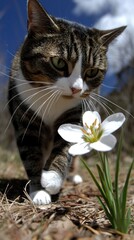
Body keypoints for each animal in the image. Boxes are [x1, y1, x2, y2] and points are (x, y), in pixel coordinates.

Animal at [7, 0, 125, 204]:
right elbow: (31, 155)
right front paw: (39, 191)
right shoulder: (25, 121)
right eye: (59, 63)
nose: (76, 89)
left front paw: (52, 178)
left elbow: (65, 148)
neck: (53, 98)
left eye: (92, 71)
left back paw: (72, 176)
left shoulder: (75, 113)